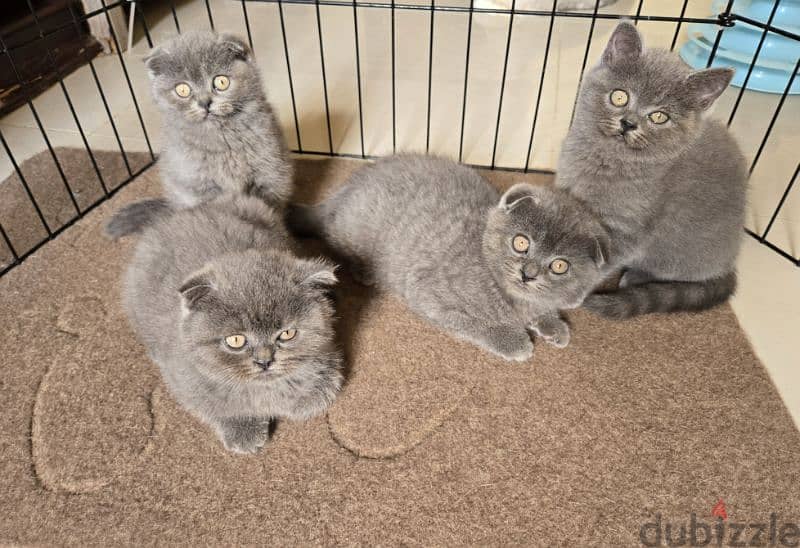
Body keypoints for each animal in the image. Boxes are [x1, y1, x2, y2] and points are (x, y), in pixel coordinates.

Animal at [107, 196, 344, 454]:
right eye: (236, 340)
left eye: (287, 334)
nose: (264, 361)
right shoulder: (186, 379)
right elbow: (217, 406)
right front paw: (243, 430)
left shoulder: (328, 349)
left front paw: (306, 396)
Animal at [145, 31, 292, 210]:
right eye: (182, 90)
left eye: (221, 81)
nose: (204, 102)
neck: (223, 140)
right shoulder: (198, 186)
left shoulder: (269, 174)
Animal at [288, 154, 608, 362]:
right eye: (521, 242)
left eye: (559, 266)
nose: (528, 273)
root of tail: (344, 189)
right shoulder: (428, 292)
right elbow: (474, 323)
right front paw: (512, 339)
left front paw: (552, 324)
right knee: (333, 239)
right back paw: (363, 270)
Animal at [556, 21, 752, 318]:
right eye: (619, 96)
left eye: (659, 117)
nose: (628, 123)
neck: (606, 159)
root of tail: (730, 263)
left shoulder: (626, 229)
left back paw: (636, 277)